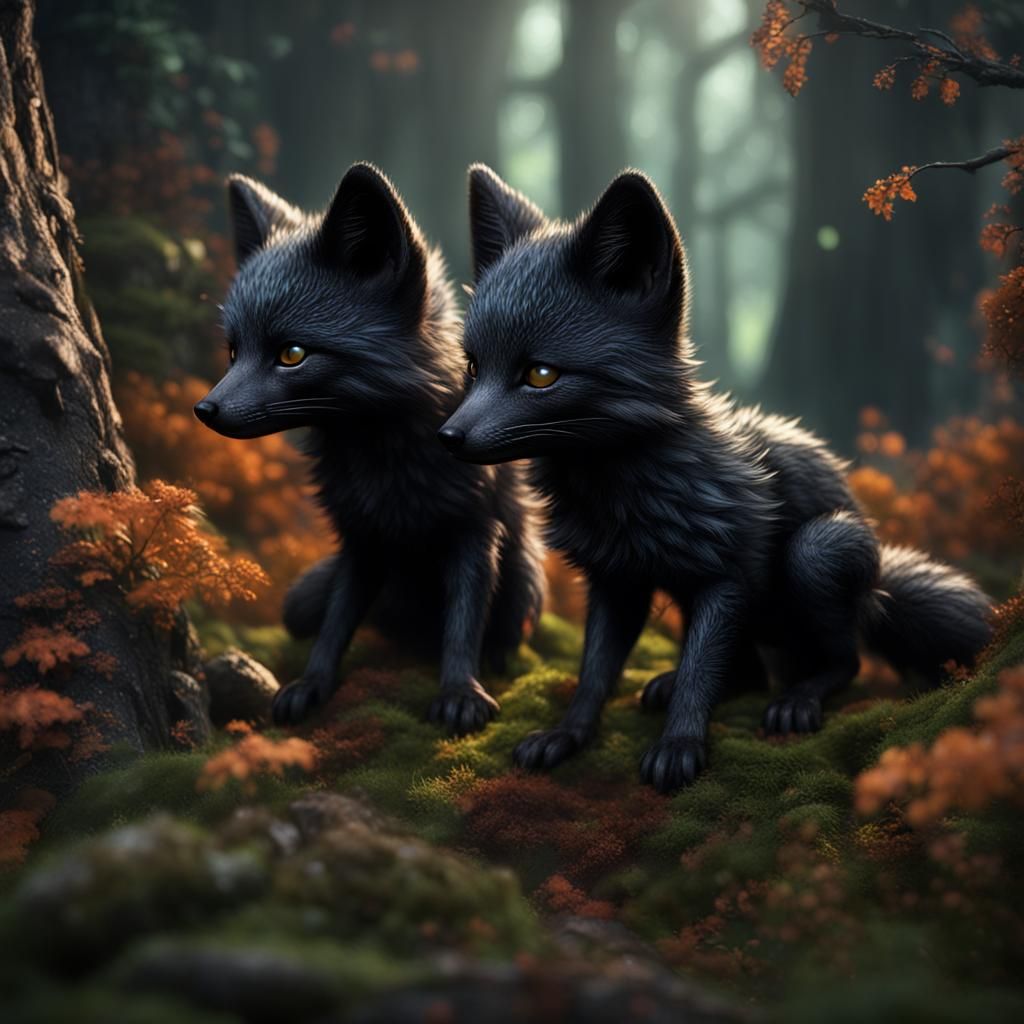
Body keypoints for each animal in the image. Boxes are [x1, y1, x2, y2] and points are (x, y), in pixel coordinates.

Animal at [194, 163, 545, 732]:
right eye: (233, 351)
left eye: (292, 354)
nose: (204, 410)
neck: (385, 468)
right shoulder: (360, 538)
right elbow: (337, 623)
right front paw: (312, 685)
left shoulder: (473, 530)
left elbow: (463, 622)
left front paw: (461, 693)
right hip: (300, 597)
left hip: (524, 582)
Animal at [438, 164, 993, 793]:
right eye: (472, 366)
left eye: (540, 374)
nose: (447, 438)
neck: (622, 491)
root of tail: (879, 576)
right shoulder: (616, 581)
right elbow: (595, 673)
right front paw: (568, 736)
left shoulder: (725, 580)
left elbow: (701, 672)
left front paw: (679, 747)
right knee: (750, 672)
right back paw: (674, 685)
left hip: (820, 549)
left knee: (840, 660)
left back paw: (798, 700)